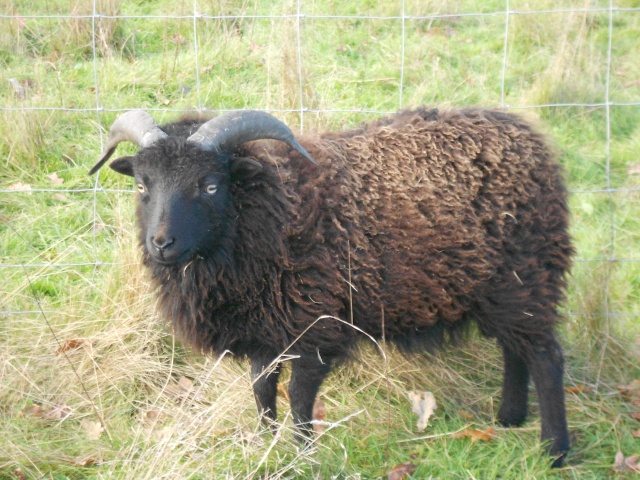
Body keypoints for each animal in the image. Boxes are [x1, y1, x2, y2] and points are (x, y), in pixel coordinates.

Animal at [90, 107, 576, 466]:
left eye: (210, 185)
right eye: (142, 185)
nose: (161, 244)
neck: (274, 212)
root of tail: (533, 143)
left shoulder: (315, 328)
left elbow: (299, 398)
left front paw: (304, 455)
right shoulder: (265, 329)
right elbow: (262, 390)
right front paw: (266, 445)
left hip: (525, 278)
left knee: (545, 358)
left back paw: (554, 450)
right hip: (503, 291)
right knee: (515, 351)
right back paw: (509, 418)